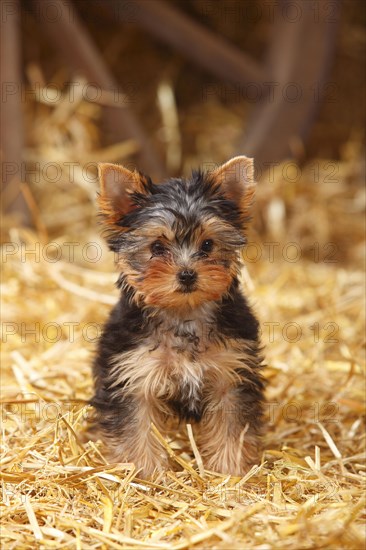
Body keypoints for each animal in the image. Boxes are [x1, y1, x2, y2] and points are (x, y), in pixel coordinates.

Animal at [91, 156, 264, 478]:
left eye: (207, 245)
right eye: (157, 247)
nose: (187, 274)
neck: (184, 313)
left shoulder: (231, 373)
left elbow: (231, 425)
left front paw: (230, 471)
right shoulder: (135, 375)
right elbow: (137, 427)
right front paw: (145, 473)